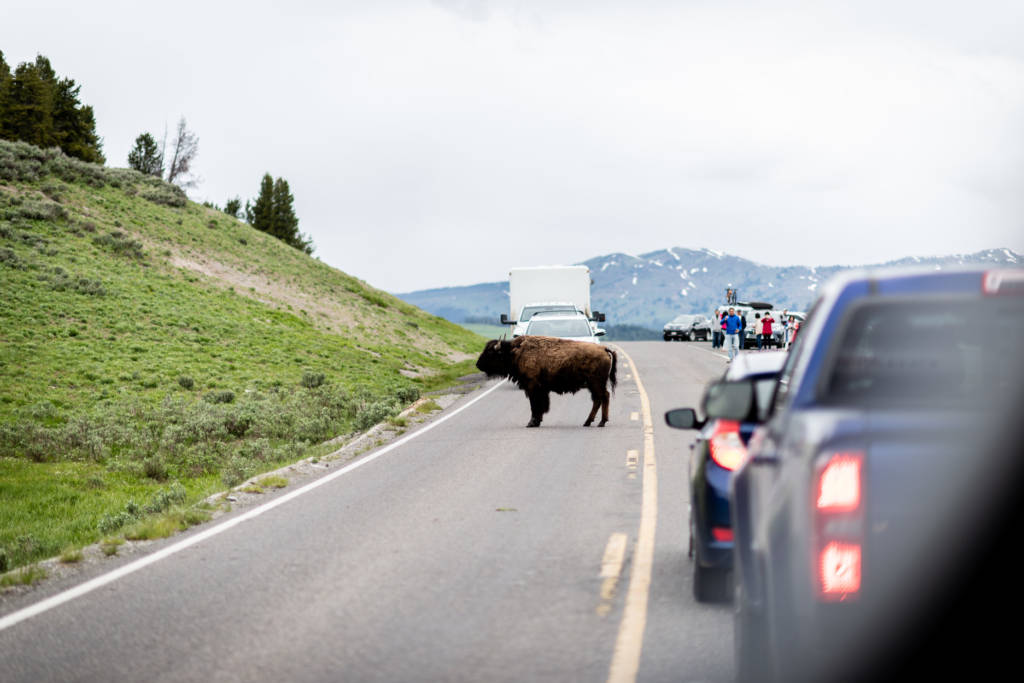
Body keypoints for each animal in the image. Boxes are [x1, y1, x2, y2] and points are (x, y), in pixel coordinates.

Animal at [473, 335, 614, 428]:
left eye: (490, 352)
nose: (478, 364)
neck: (515, 352)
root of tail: (604, 349)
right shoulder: (540, 390)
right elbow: (539, 406)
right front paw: (537, 421)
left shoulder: (533, 387)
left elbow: (535, 406)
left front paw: (531, 423)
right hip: (593, 385)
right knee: (599, 399)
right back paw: (590, 422)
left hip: (595, 384)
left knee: (603, 397)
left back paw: (599, 422)